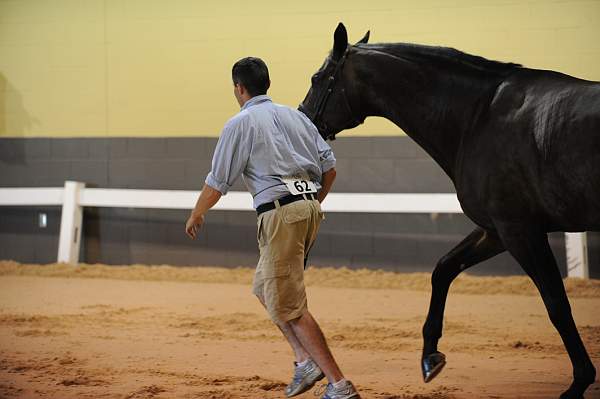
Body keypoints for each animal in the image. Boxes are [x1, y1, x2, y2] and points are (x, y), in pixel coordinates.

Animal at [300, 23, 600, 398]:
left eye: (317, 77)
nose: (301, 118)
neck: (479, 117)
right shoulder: (496, 231)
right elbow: (443, 269)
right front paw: (431, 357)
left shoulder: (520, 231)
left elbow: (557, 304)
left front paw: (579, 382)